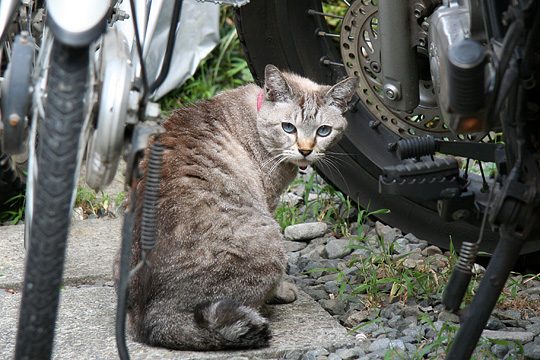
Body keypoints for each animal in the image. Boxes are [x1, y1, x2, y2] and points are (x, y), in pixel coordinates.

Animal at [116, 64, 356, 348]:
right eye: (288, 128)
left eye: (323, 131)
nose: (305, 150)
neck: (256, 115)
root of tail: (152, 319)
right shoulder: (269, 203)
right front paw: (284, 289)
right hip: (270, 241)